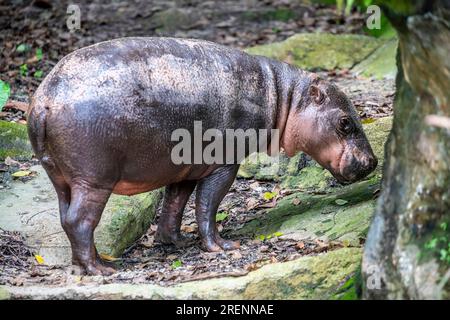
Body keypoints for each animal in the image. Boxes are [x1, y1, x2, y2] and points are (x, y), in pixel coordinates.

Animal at [28, 37, 378, 272]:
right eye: (345, 123)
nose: (373, 161)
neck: (285, 96)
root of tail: (45, 99)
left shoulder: (185, 168)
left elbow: (174, 205)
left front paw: (176, 243)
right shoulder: (224, 164)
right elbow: (208, 204)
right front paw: (223, 247)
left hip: (62, 178)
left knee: (65, 217)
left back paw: (85, 264)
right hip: (94, 179)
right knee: (79, 220)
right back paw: (102, 269)